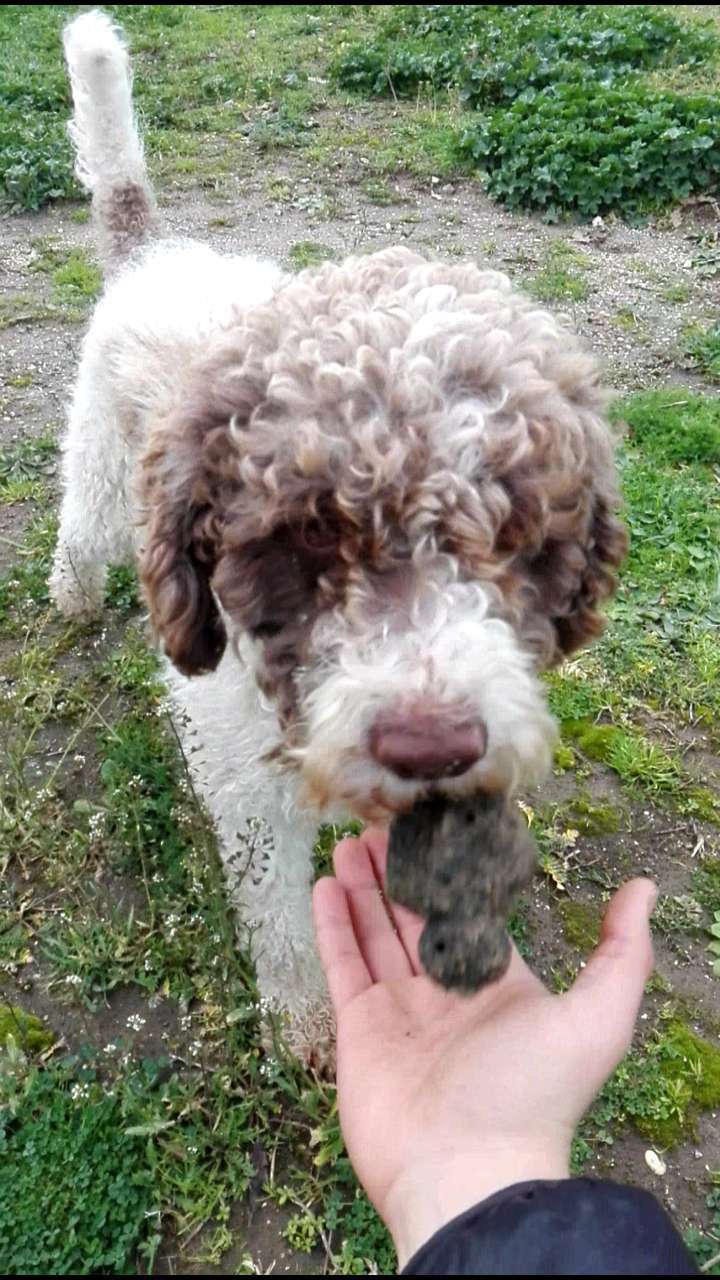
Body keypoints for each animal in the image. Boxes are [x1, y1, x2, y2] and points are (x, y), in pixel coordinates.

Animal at [49, 15, 622, 1064]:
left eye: (516, 531)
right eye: (301, 541)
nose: (432, 746)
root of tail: (151, 247)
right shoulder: (242, 777)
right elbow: (277, 910)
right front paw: (304, 1015)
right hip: (103, 464)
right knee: (80, 527)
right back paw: (71, 596)